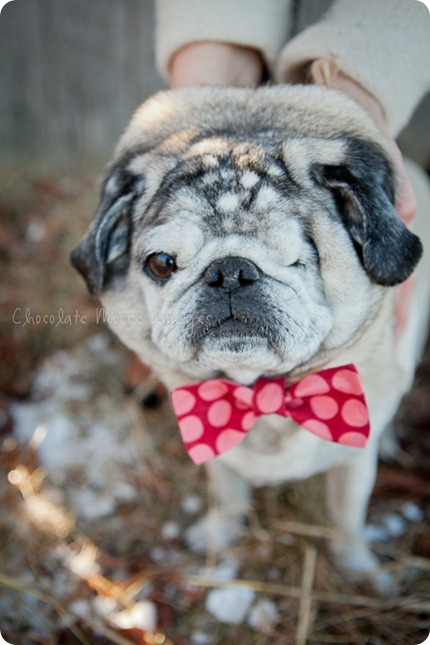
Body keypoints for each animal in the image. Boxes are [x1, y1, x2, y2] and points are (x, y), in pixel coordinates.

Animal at [71, 85, 430, 588]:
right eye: (161, 263)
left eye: (301, 259)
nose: (229, 271)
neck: (261, 394)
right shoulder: (219, 451)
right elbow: (228, 495)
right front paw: (219, 536)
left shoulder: (353, 465)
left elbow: (346, 520)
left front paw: (358, 571)